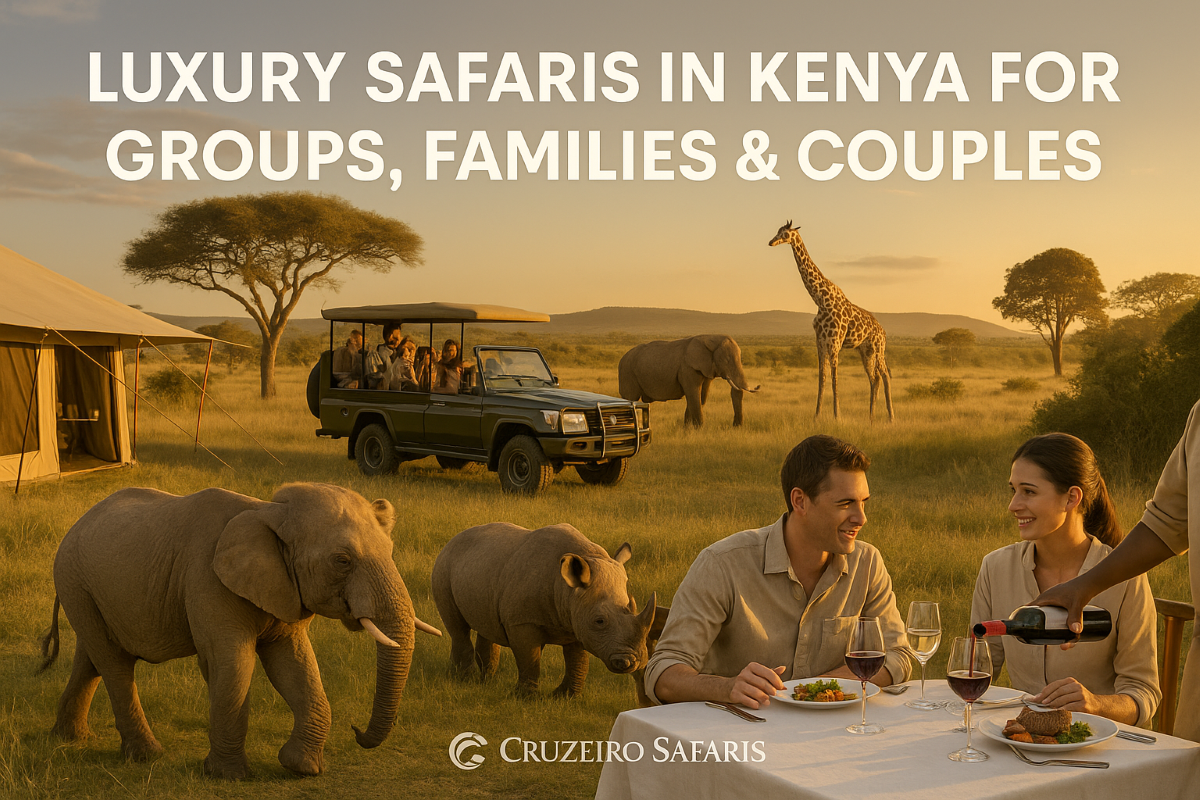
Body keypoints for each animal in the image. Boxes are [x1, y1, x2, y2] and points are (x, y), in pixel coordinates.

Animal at [38, 482, 441, 780]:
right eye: (342, 561)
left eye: (391, 550)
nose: (357, 732)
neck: (269, 511)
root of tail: (77, 523)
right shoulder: (208, 579)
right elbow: (231, 664)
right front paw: (227, 776)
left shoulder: (286, 589)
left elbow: (294, 664)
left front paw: (302, 768)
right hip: (74, 578)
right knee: (114, 664)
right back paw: (146, 756)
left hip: (84, 588)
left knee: (91, 659)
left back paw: (68, 739)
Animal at [431, 522, 656, 697]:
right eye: (600, 621)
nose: (631, 662)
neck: (567, 588)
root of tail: (455, 537)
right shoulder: (523, 621)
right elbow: (530, 658)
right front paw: (525, 698)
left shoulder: (576, 618)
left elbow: (578, 659)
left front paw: (565, 697)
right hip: (444, 565)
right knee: (457, 627)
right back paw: (465, 680)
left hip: (480, 567)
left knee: (486, 624)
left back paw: (486, 681)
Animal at [618, 335, 761, 427]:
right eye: (726, 361)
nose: (735, 426)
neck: (711, 338)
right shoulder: (687, 368)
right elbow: (694, 394)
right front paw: (699, 429)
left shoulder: (706, 369)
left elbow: (701, 396)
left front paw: (687, 429)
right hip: (627, 373)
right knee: (630, 399)